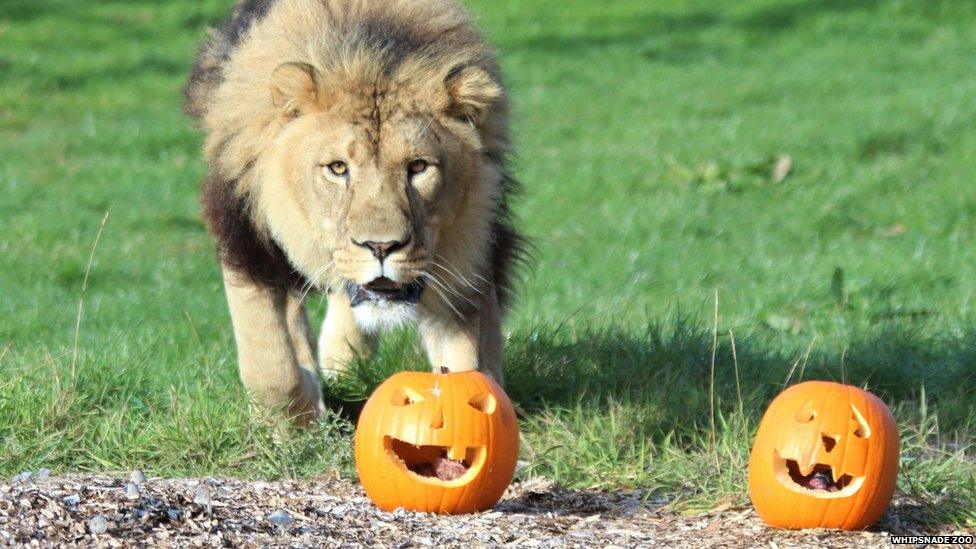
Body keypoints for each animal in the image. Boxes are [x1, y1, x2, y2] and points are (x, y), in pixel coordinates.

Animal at [187, 0, 528, 424]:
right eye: (337, 168)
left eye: (418, 167)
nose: (381, 247)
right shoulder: (244, 239)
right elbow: (270, 364)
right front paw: (297, 424)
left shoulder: (469, 251)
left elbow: (470, 357)